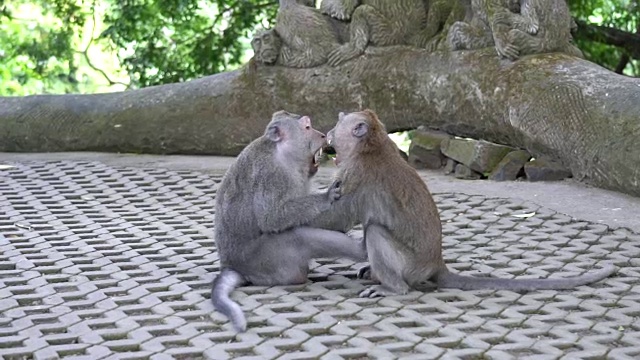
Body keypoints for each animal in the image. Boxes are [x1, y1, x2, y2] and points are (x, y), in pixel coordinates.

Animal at [212, 110, 368, 332]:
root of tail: (234, 266)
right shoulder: (271, 174)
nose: (322, 135)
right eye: (307, 127)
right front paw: (326, 197)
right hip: (265, 259)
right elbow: (272, 217)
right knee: (299, 236)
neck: (282, 153)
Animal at [324, 109, 616, 298]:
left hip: (410, 266)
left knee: (375, 232)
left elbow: (339, 217)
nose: (328, 131)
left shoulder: (354, 176)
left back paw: (393, 288)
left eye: (338, 123)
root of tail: (436, 263)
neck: (371, 146)